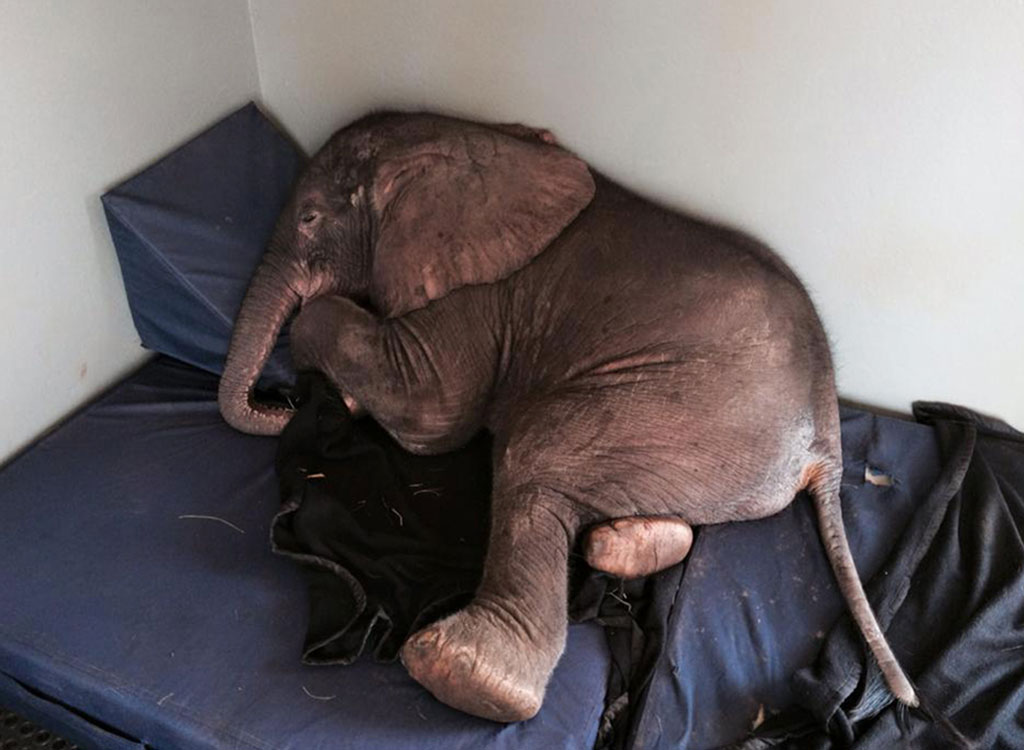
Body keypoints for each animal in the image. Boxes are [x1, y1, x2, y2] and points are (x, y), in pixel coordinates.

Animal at [218, 111, 916, 722]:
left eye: (310, 219)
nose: (285, 401)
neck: (464, 139)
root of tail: (827, 440)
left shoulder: (478, 294)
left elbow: (432, 411)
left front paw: (343, 385)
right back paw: (617, 547)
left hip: (685, 410)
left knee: (535, 451)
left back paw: (465, 675)